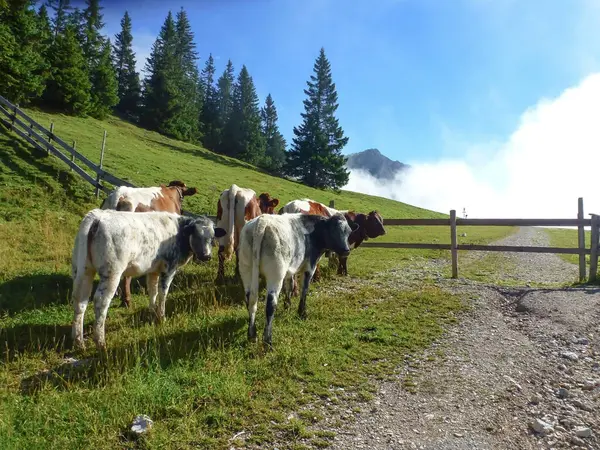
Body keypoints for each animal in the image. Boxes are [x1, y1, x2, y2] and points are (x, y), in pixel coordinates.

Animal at [71, 209, 226, 350]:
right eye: (197, 236)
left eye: (212, 238)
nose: (206, 256)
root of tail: (98, 215)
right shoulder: (169, 267)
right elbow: (163, 293)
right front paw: (161, 317)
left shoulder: (153, 270)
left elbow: (152, 290)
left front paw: (152, 313)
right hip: (112, 272)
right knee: (100, 301)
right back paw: (100, 342)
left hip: (83, 270)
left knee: (80, 300)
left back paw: (79, 342)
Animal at [237, 213, 358, 346]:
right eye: (333, 230)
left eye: (349, 232)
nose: (346, 250)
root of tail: (262, 219)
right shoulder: (310, 267)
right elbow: (304, 290)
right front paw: (302, 313)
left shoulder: (290, 271)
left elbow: (289, 286)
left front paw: (287, 307)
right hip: (275, 274)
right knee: (270, 305)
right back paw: (268, 341)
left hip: (246, 270)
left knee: (250, 301)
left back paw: (252, 336)